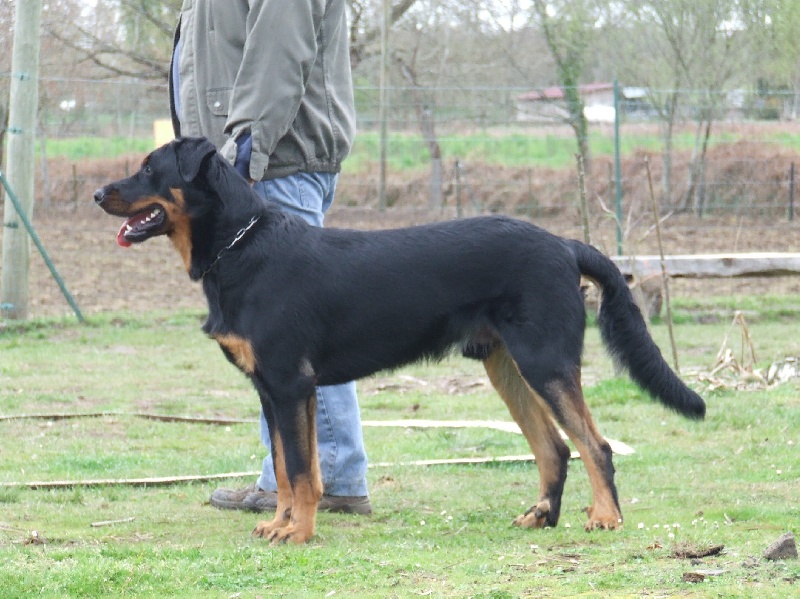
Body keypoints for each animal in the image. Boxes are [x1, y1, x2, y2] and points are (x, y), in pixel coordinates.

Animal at [95, 138, 708, 548]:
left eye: (149, 168)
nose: (99, 192)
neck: (240, 247)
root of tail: (564, 244)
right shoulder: (274, 391)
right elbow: (293, 469)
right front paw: (281, 523)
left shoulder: (290, 385)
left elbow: (301, 470)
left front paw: (300, 534)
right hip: (506, 367)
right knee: (554, 447)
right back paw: (540, 516)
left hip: (546, 362)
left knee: (594, 444)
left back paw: (604, 518)